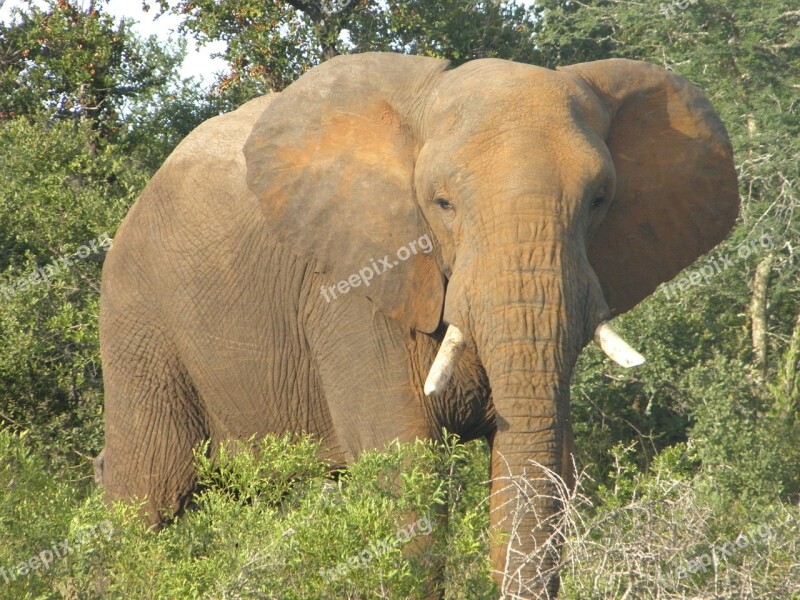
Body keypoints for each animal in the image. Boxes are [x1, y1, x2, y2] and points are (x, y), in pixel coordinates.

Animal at [100, 51, 736, 596]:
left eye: (600, 199)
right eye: (442, 203)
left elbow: (539, 468)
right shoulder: (350, 289)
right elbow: (407, 478)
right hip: (139, 320)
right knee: (146, 499)